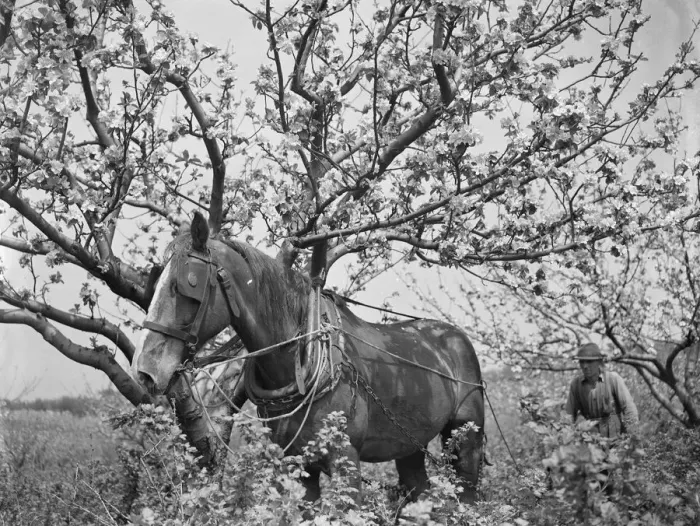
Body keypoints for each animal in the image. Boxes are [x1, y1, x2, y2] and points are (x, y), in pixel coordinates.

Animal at [133, 212, 485, 504]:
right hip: (410, 446)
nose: (145, 371)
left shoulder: (346, 461)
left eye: (186, 286)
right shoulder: (299, 466)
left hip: (466, 441)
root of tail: (454, 337)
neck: (295, 364)